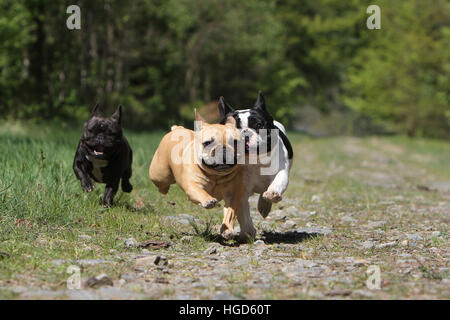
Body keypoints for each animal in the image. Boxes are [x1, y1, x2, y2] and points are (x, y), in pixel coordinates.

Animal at [219, 91, 296, 239]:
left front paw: (272, 193)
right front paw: (248, 231)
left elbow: (278, 181)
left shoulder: (281, 171)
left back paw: (264, 204)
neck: (253, 161)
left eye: (260, 125)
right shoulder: (239, 190)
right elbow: (243, 213)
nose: (244, 134)